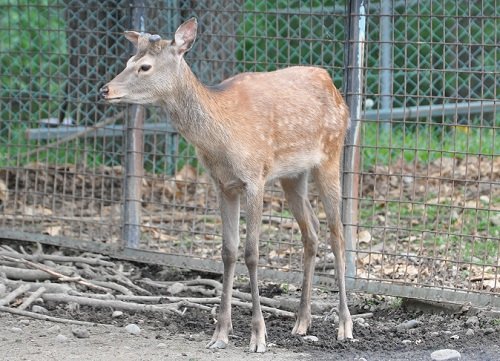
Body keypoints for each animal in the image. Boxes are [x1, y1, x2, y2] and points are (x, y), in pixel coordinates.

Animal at [99, 17, 354, 352]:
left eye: (144, 66)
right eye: (128, 60)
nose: (105, 89)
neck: (221, 140)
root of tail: (336, 91)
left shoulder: (255, 177)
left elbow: (252, 253)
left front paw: (258, 335)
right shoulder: (222, 184)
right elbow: (228, 251)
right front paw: (220, 331)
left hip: (331, 154)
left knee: (338, 233)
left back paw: (344, 326)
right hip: (292, 175)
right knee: (311, 230)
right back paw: (301, 321)